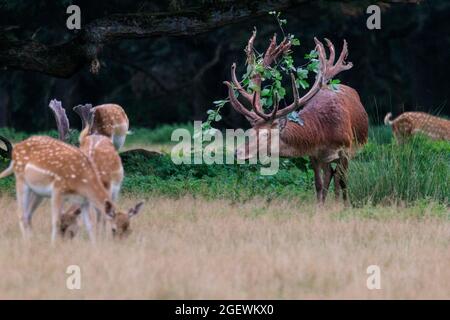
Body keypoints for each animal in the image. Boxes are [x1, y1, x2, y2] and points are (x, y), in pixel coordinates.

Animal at [225, 31, 370, 205]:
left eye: (266, 134)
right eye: (249, 131)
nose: (237, 152)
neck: (324, 133)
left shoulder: (346, 149)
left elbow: (343, 182)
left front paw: (344, 207)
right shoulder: (314, 154)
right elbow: (319, 184)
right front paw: (319, 208)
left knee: (338, 179)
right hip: (326, 159)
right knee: (329, 176)